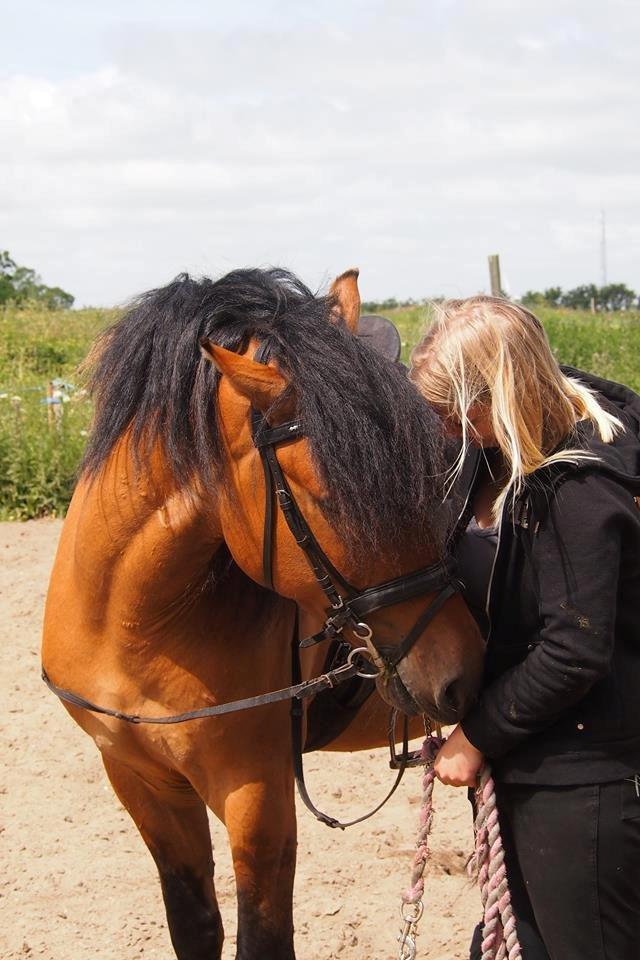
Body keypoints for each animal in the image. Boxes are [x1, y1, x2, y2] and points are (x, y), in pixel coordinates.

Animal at [42, 264, 482, 960]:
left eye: (431, 470)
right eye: (333, 501)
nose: (461, 675)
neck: (132, 624)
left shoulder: (257, 796)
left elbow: (263, 939)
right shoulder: (141, 781)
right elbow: (195, 925)